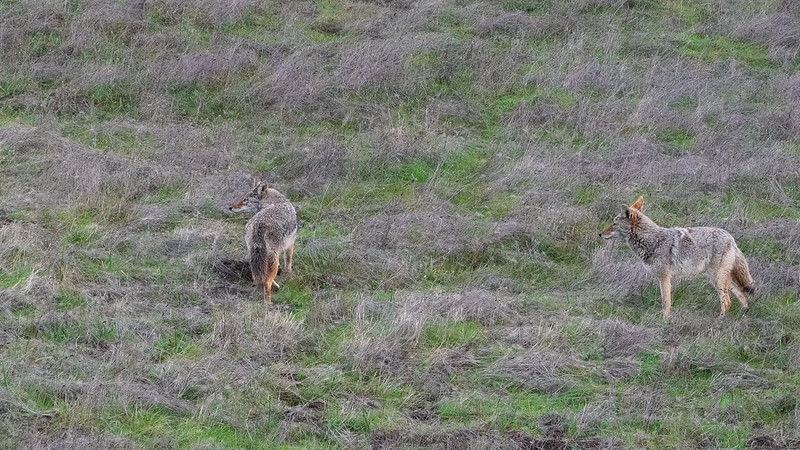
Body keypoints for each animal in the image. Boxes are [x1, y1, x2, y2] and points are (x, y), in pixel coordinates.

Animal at [599, 196, 754, 319]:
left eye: (614, 223)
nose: (600, 234)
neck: (652, 240)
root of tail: (730, 238)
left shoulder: (664, 277)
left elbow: (665, 302)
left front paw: (664, 320)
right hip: (721, 279)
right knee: (741, 295)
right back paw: (744, 315)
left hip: (717, 279)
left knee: (727, 302)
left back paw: (720, 321)